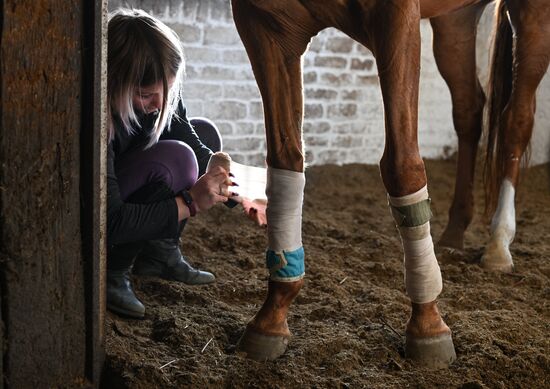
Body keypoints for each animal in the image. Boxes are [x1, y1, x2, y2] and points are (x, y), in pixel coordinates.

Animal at [231, 0, 550, 366]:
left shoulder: (395, 17)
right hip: (455, 21)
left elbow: (402, 165)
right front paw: (272, 315)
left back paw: (498, 245)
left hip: (532, 15)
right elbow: (285, 161)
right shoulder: (266, 26)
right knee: (469, 111)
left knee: (516, 120)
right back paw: (454, 233)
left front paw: (427, 324)